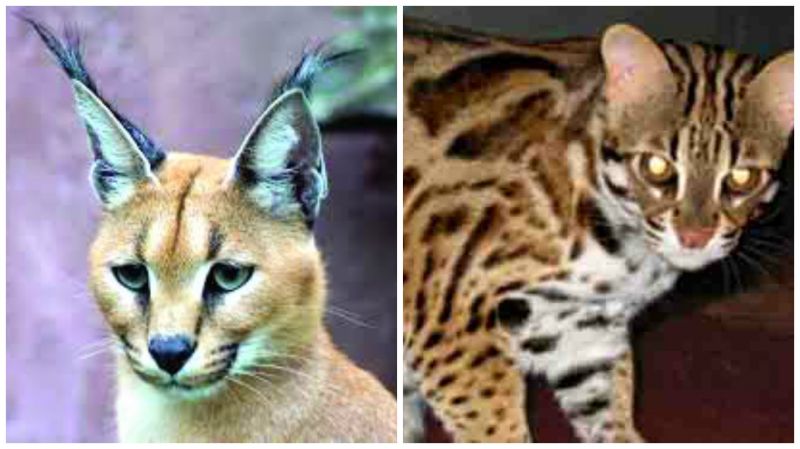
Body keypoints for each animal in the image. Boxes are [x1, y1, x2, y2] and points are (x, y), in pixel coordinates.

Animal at [404, 16, 792, 440]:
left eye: (742, 177)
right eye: (656, 166)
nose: (695, 237)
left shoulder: (585, 333)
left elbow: (610, 413)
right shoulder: (449, 324)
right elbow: (499, 431)